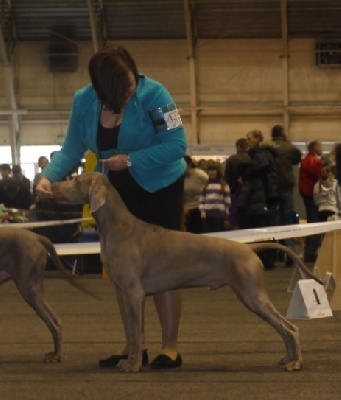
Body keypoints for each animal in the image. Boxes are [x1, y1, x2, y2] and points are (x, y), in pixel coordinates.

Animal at [51, 172, 322, 372]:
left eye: (75, 180)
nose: (52, 186)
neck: (117, 227)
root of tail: (249, 248)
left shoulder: (135, 294)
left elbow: (136, 335)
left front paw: (134, 365)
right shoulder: (127, 294)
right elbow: (133, 333)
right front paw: (130, 360)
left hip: (252, 294)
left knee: (290, 328)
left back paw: (296, 362)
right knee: (283, 329)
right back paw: (288, 359)